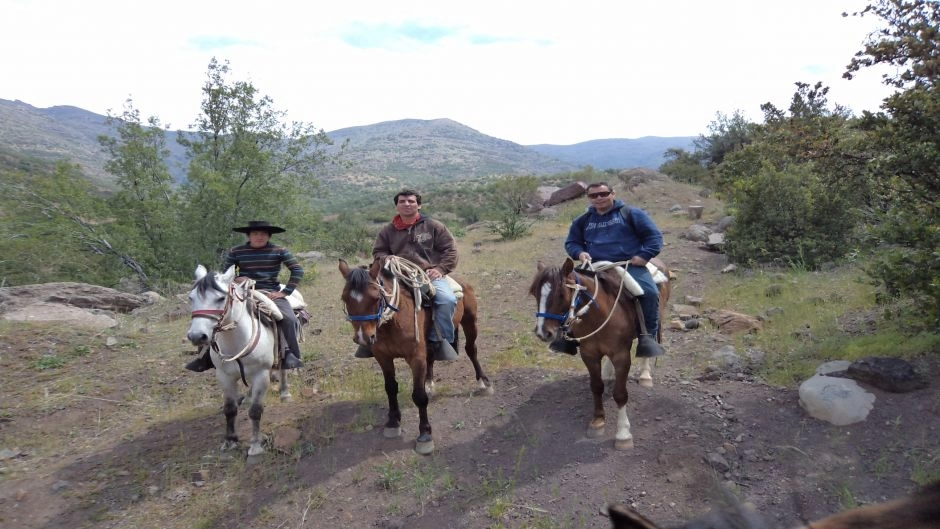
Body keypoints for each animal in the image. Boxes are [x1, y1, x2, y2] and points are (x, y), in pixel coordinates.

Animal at [183, 266, 286, 456]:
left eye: (220, 298)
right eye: (191, 298)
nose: (197, 336)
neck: (236, 342)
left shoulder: (261, 375)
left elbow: (255, 411)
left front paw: (255, 445)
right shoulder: (225, 377)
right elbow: (230, 409)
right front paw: (230, 440)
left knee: (284, 369)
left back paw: (285, 392)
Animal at [340, 256, 492, 454]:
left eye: (375, 297)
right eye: (344, 298)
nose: (363, 337)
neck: (394, 321)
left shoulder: (415, 358)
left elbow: (419, 396)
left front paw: (425, 434)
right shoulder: (383, 357)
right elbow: (390, 388)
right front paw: (393, 422)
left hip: (470, 322)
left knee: (471, 350)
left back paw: (483, 382)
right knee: (432, 356)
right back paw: (429, 382)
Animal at [528, 258, 668, 448]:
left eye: (561, 294)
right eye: (535, 293)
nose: (543, 333)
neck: (599, 315)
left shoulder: (621, 356)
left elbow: (620, 394)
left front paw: (623, 434)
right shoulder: (589, 354)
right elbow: (596, 386)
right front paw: (598, 421)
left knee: (649, 338)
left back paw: (645, 375)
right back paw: (608, 375)